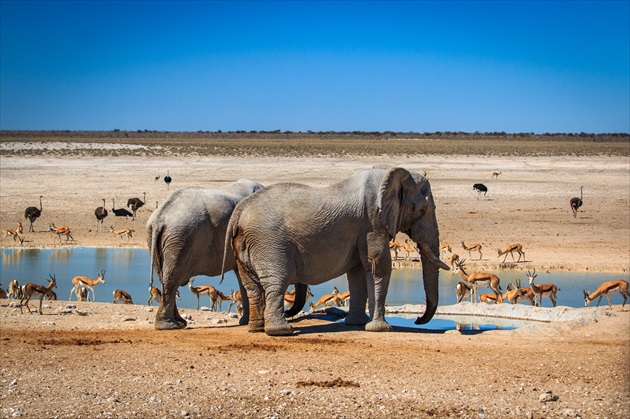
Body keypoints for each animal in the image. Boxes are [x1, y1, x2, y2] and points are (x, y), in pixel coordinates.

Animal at [148, 179, 264, 330]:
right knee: (171, 279)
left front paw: (245, 321)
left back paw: (179, 323)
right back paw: (170, 325)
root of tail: (160, 216)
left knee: (164, 277)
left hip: (160, 239)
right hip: (180, 239)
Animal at [225, 166, 452, 336]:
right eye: (421, 211)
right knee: (278, 280)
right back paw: (280, 331)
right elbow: (378, 266)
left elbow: (358, 272)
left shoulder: (362, 231)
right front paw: (380, 328)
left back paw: (256, 329)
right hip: (269, 242)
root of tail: (239, 212)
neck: (388, 174)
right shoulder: (373, 223)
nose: (418, 320)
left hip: (246, 244)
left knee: (252, 286)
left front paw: (357, 323)